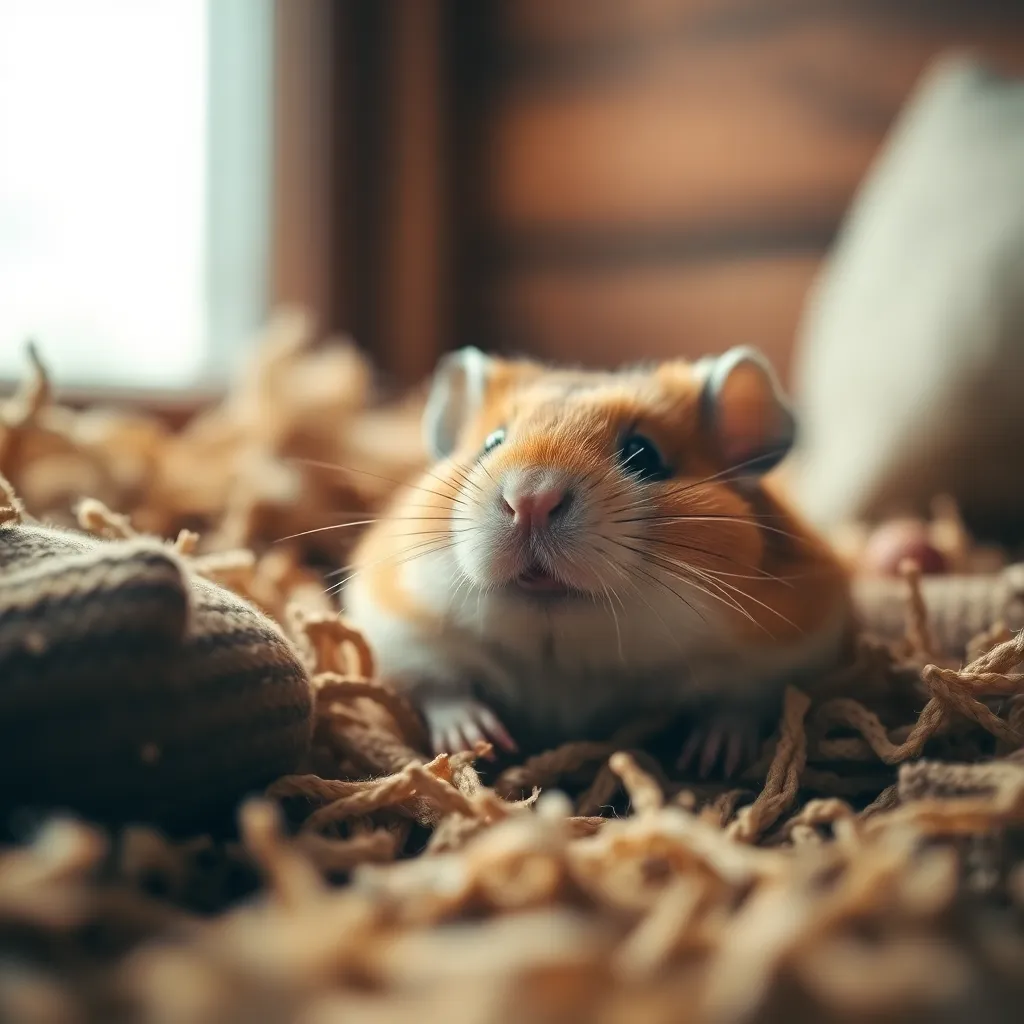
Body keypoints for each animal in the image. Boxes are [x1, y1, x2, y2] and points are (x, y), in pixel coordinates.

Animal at [343, 346, 852, 777]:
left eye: (644, 454)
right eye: (491, 443)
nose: (529, 499)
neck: (565, 651)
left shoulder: (784, 652)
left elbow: (739, 706)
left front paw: (712, 761)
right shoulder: (399, 631)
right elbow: (440, 687)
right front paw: (480, 741)